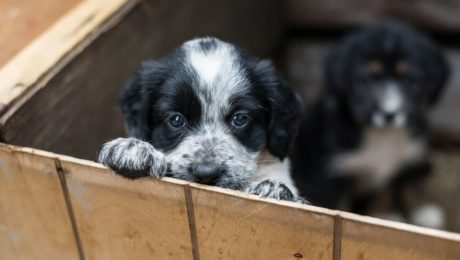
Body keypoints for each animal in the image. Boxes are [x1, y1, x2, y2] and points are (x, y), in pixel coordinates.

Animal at [292, 21, 450, 226]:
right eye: (366, 79)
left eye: (410, 79)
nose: (389, 114)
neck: (383, 135)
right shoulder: (332, 173)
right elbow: (339, 204)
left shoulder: (411, 155)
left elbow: (406, 185)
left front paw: (419, 212)